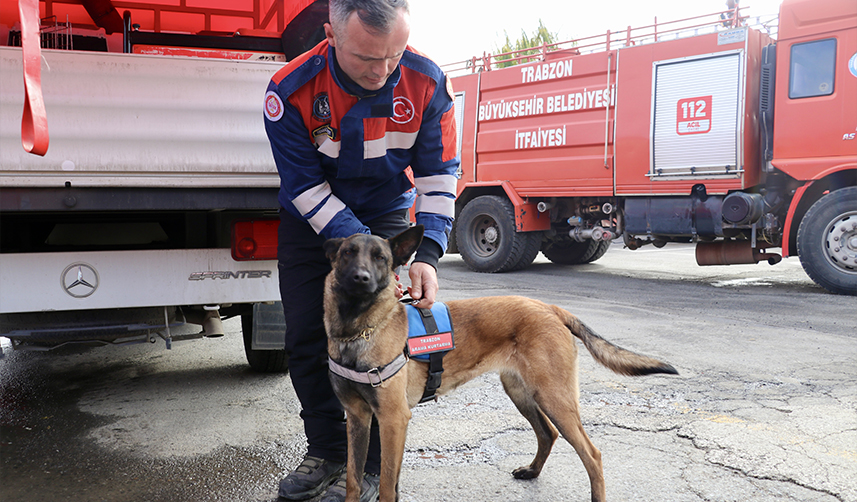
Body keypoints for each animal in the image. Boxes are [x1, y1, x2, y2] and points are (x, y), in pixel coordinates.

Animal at [320, 226, 676, 500]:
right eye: (348, 253)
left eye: (380, 258)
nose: (361, 278)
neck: (358, 330)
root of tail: (550, 307)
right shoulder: (358, 418)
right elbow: (353, 479)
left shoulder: (393, 420)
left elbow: (386, 483)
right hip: (522, 392)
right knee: (547, 434)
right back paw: (532, 471)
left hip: (554, 397)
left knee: (592, 454)